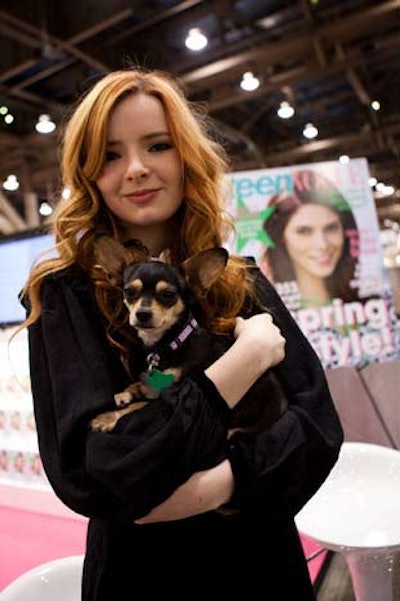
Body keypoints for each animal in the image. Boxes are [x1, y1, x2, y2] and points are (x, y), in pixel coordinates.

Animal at [89, 236, 286, 436]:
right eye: (129, 292)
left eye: (168, 295)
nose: (142, 314)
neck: (168, 344)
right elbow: (139, 388)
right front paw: (128, 392)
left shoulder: (166, 395)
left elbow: (136, 407)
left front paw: (107, 418)